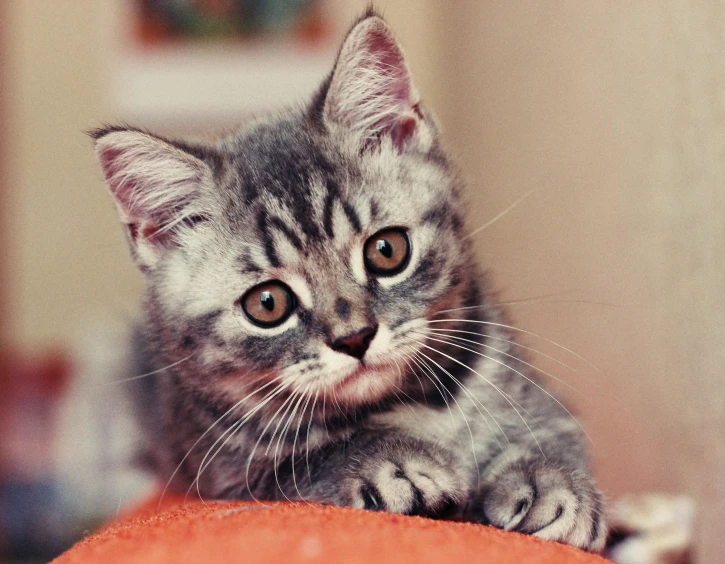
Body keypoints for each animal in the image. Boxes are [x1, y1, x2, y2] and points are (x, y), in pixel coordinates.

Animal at [90, 8, 604, 552]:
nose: (355, 337)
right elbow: (306, 460)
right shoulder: (222, 464)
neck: (403, 405)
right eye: (267, 304)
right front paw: (390, 460)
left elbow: (552, 427)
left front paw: (550, 481)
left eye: (387, 251)